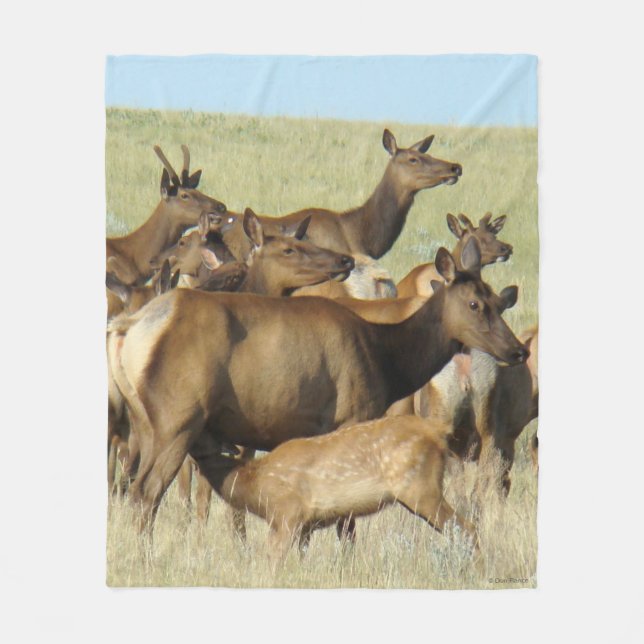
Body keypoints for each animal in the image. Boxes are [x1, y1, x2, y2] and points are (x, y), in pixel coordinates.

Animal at [107, 236, 527, 534]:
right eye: (474, 304)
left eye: (497, 300)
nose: (518, 349)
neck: (387, 361)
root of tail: (130, 327)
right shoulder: (351, 415)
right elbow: (347, 519)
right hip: (177, 419)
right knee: (146, 492)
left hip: (145, 423)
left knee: (133, 487)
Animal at [197, 415, 478, 568]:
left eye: (204, 429)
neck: (256, 486)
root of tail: (437, 432)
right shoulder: (306, 525)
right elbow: (301, 556)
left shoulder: (287, 513)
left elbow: (274, 559)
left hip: (421, 487)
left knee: (467, 528)